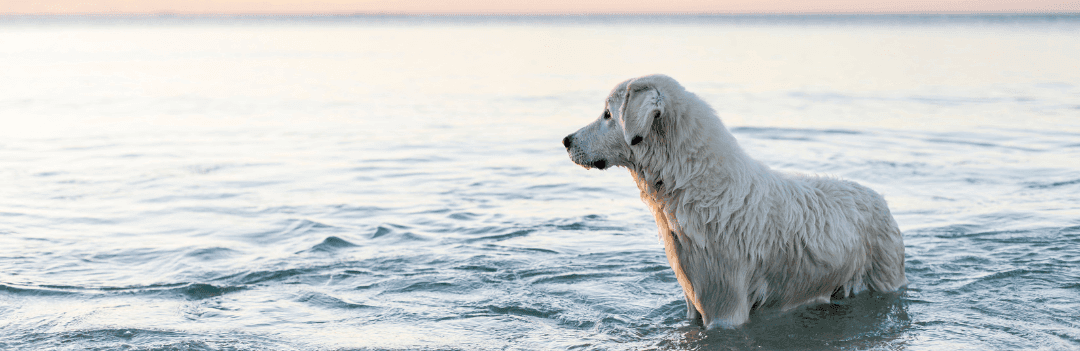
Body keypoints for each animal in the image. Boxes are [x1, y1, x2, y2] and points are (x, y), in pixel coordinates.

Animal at [561, 73, 907, 328]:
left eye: (607, 114)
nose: (566, 140)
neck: (693, 184)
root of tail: (880, 198)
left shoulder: (725, 307)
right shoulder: (693, 297)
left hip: (883, 275)